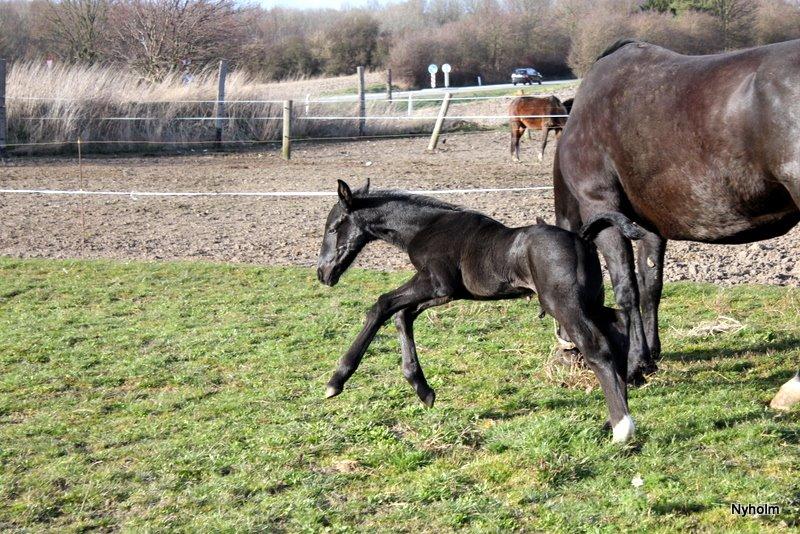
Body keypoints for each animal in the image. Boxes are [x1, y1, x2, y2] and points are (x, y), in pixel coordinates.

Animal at [318, 180, 644, 444]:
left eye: (333, 228)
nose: (323, 273)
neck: (426, 227)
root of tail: (582, 237)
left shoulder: (436, 283)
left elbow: (382, 305)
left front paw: (336, 380)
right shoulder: (445, 293)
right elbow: (403, 315)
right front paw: (423, 389)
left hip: (563, 304)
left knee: (597, 347)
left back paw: (622, 427)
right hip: (590, 301)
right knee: (617, 324)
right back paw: (618, 405)